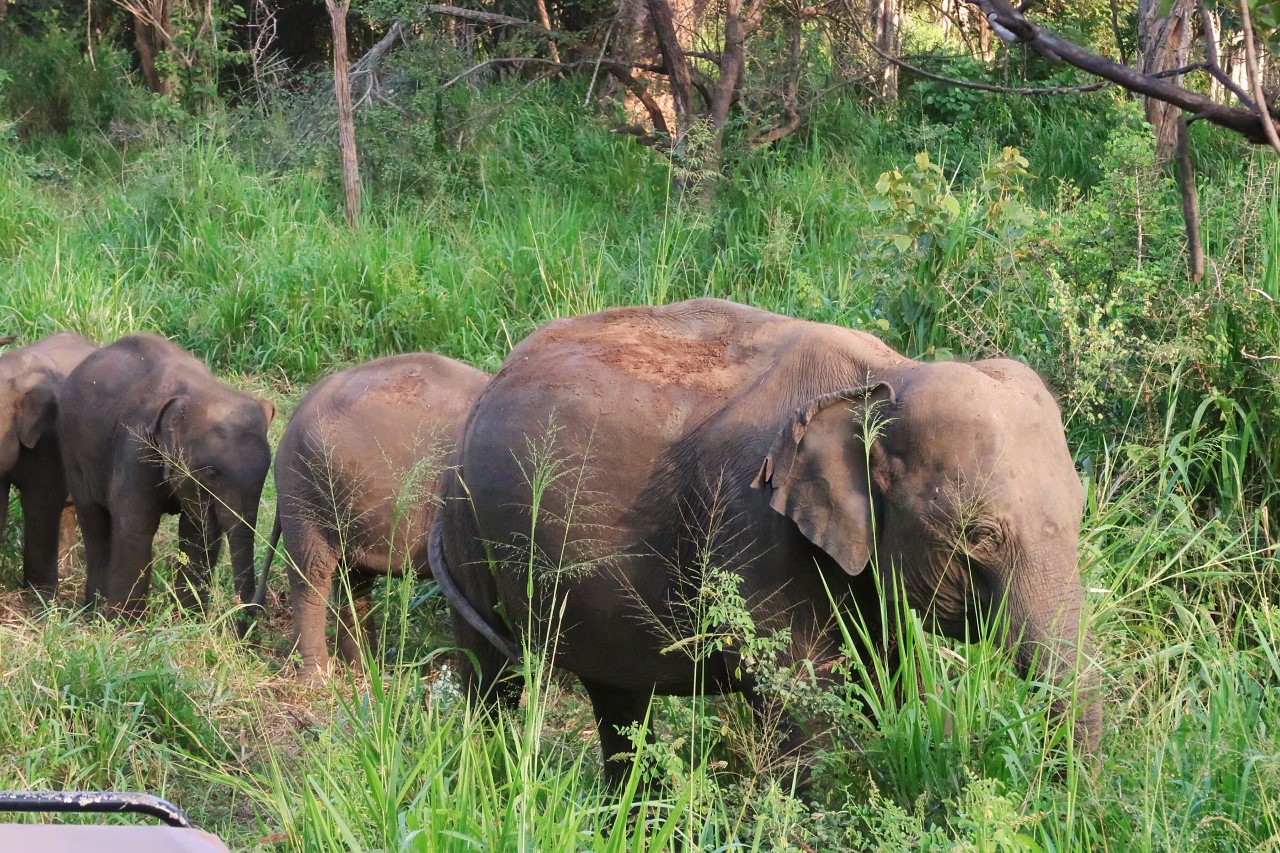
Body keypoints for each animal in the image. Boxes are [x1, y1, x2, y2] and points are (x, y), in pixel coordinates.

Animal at [58, 333, 275, 625]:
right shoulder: (136, 446)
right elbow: (136, 526)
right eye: (210, 473)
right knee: (94, 521)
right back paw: (94, 613)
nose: (246, 617)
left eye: (267, 472)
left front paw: (189, 622)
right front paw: (126, 626)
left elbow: (199, 533)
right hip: (72, 450)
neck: (199, 392)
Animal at [435, 297, 1105, 783]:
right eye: (980, 535)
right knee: (494, 679)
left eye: (1079, 516)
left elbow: (891, 679)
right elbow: (801, 708)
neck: (884, 375)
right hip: (469, 528)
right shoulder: (751, 525)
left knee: (618, 699)